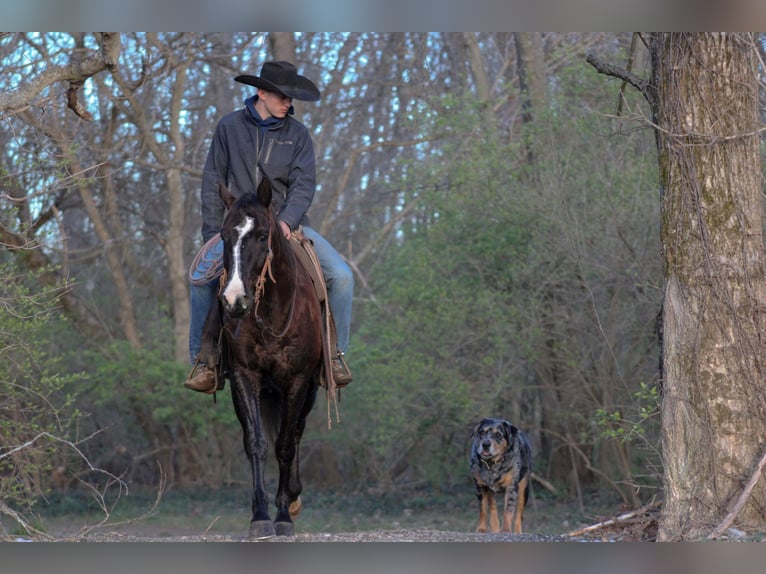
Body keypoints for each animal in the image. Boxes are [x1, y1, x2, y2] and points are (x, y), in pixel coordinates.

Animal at [218, 178, 322, 544]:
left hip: (307, 392)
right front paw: (261, 515)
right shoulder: (244, 377)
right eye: (223, 234)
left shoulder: (297, 381)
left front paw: (283, 516)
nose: (234, 299)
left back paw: (292, 497)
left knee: (298, 432)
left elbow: (285, 446)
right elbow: (257, 443)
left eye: (263, 234)